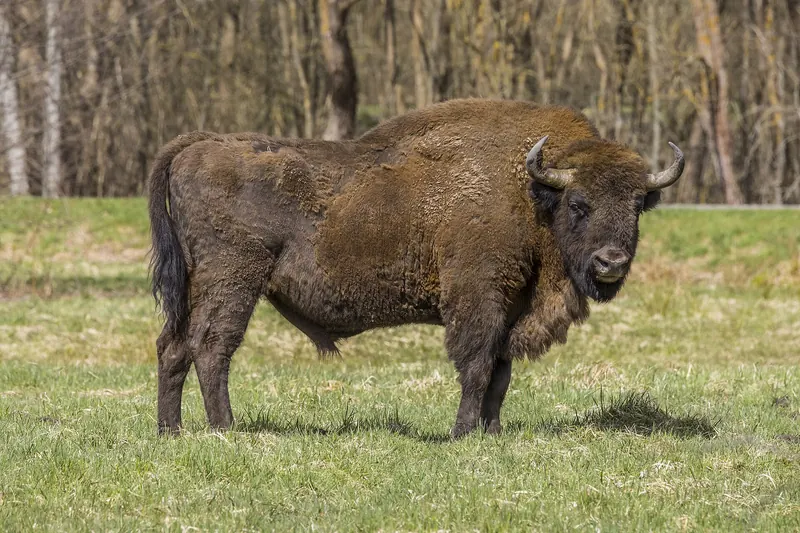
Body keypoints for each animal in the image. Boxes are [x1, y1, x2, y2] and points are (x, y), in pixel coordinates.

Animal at [149, 99, 684, 438]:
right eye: (578, 204)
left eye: (638, 204)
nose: (611, 262)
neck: (529, 191)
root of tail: (200, 145)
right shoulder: (478, 299)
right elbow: (476, 367)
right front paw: (462, 433)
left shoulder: (510, 308)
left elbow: (501, 374)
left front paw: (492, 433)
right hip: (233, 281)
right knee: (212, 347)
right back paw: (226, 429)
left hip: (196, 285)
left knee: (173, 346)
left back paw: (170, 432)